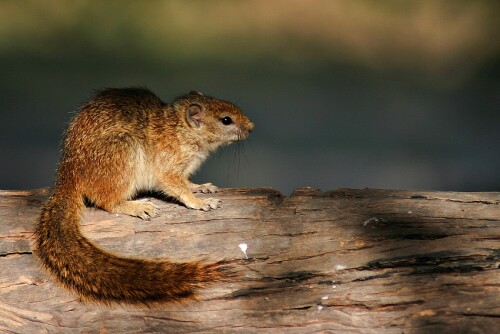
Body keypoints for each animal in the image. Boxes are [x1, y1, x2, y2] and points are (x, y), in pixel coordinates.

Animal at [35, 88, 254, 306]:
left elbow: (188, 183)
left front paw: (202, 188)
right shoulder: (167, 167)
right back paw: (137, 207)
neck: (180, 129)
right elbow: (179, 188)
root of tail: (69, 174)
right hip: (123, 153)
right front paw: (200, 202)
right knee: (107, 201)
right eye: (226, 120)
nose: (251, 127)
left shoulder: (184, 170)